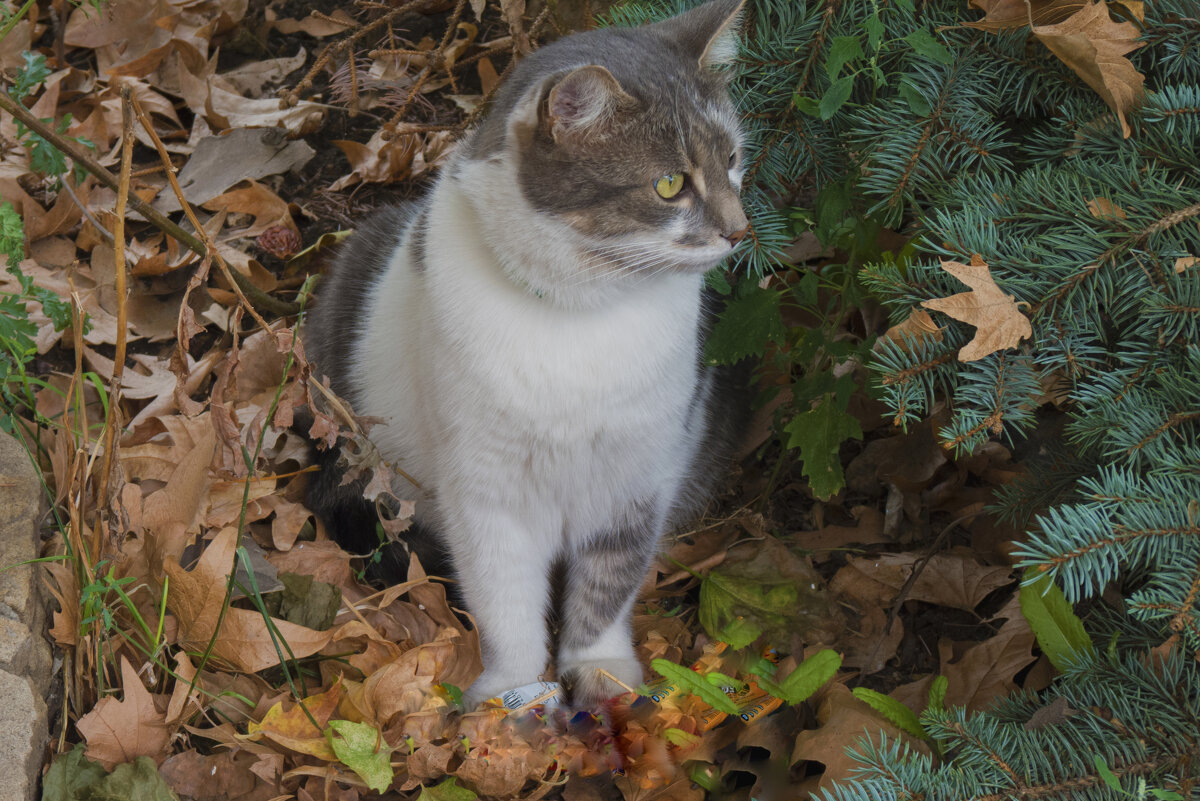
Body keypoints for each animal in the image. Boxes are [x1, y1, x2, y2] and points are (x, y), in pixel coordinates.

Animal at [300, 0, 748, 705]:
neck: (581, 316)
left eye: (732, 159)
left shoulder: (637, 476)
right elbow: (503, 594)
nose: (740, 230)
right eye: (670, 183)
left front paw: (601, 671)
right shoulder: (487, 487)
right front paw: (514, 694)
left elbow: (610, 579)